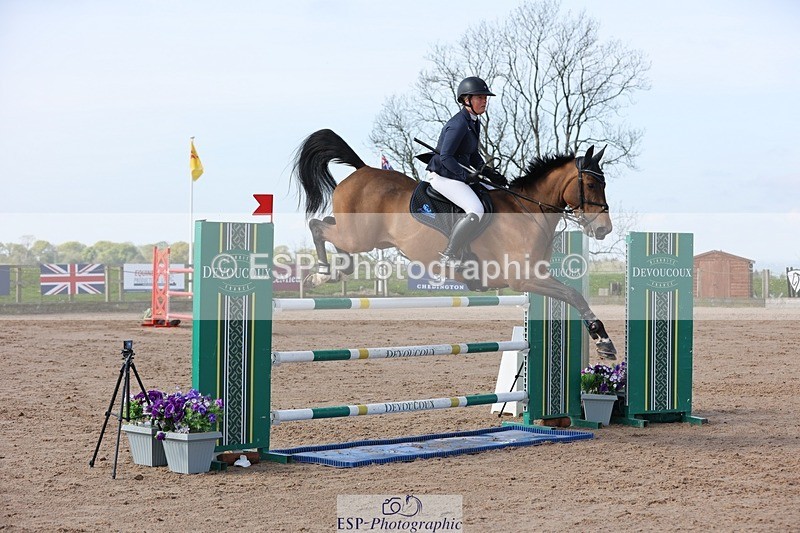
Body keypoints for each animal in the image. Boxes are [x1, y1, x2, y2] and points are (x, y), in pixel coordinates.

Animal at [293, 129, 617, 358]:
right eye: (591, 184)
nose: (604, 229)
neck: (527, 211)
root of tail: (362, 169)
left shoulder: (534, 276)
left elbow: (572, 294)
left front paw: (602, 339)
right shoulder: (524, 278)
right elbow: (574, 295)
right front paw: (603, 340)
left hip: (361, 236)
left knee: (330, 231)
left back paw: (333, 272)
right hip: (358, 235)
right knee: (318, 227)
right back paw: (321, 273)